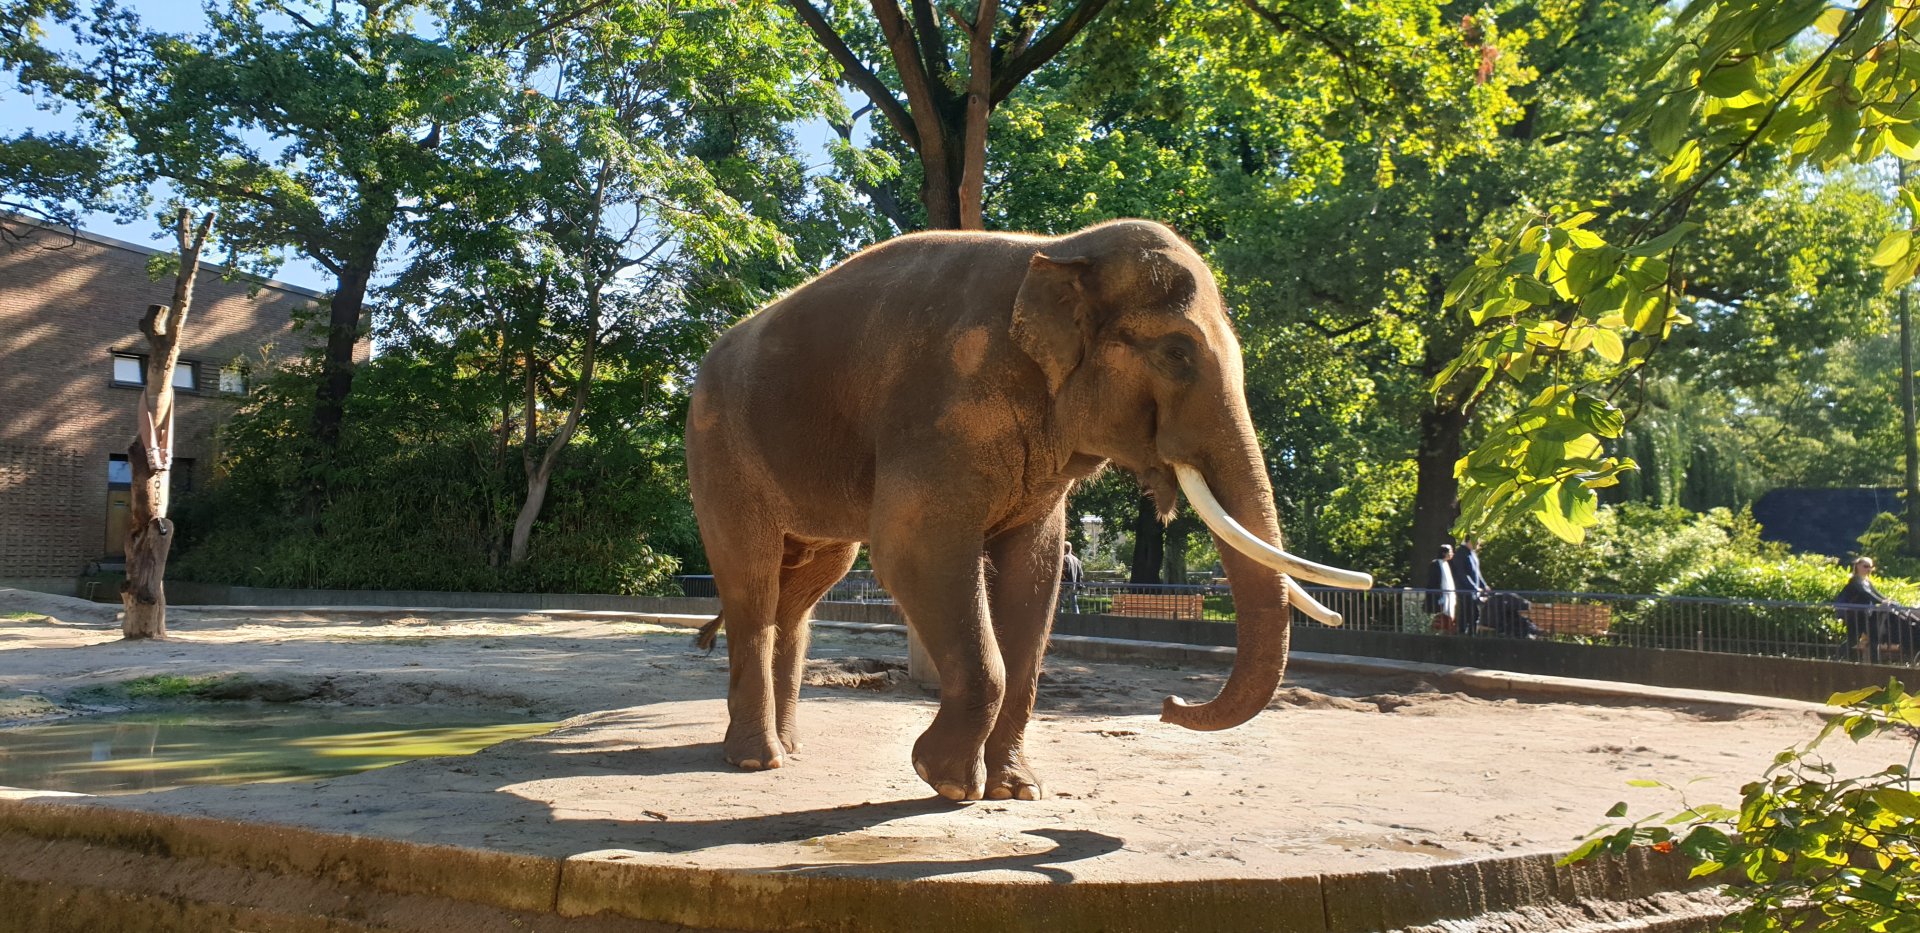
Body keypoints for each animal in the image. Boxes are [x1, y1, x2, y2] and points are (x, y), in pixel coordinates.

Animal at [684, 218, 1371, 802]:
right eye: (1176, 354)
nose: (1171, 705)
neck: (1061, 249)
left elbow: (1035, 571)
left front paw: (1016, 791)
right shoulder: (939, 409)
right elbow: (911, 549)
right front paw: (946, 781)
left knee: (803, 592)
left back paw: (790, 750)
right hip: (719, 453)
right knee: (752, 584)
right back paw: (756, 760)